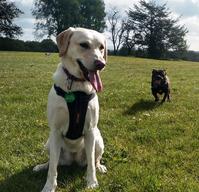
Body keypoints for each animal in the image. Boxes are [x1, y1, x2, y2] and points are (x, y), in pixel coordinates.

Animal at [33, 27, 107, 192]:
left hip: (99, 139)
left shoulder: (90, 130)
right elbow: (53, 168)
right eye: (84, 45)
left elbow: (91, 164)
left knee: (95, 159)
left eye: (101, 47)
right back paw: (42, 166)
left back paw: (100, 167)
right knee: (53, 161)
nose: (101, 64)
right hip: (49, 143)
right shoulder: (55, 131)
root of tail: (73, 160)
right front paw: (49, 186)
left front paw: (92, 182)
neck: (77, 87)